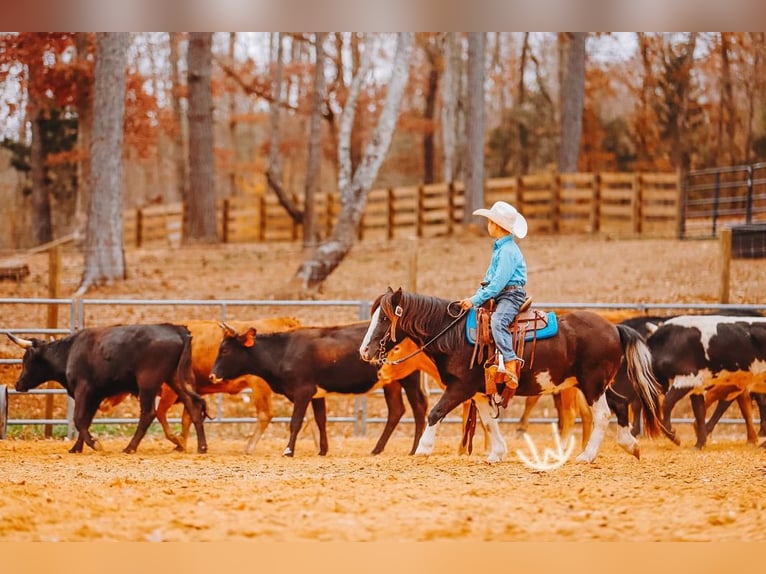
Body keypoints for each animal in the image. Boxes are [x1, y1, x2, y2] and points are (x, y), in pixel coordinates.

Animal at [359, 287, 663, 464]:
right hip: (596, 384)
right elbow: (488, 422)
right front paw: (497, 453)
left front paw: (423, 448)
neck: (452, 334)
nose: (365, 351)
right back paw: (629, 445)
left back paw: (586, 456)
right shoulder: (478, 391)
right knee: (620, 404)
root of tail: (614, 327)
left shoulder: (460, 387)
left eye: (385, 318)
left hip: (591, 384)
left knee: (602, 415)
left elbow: (436, 412)